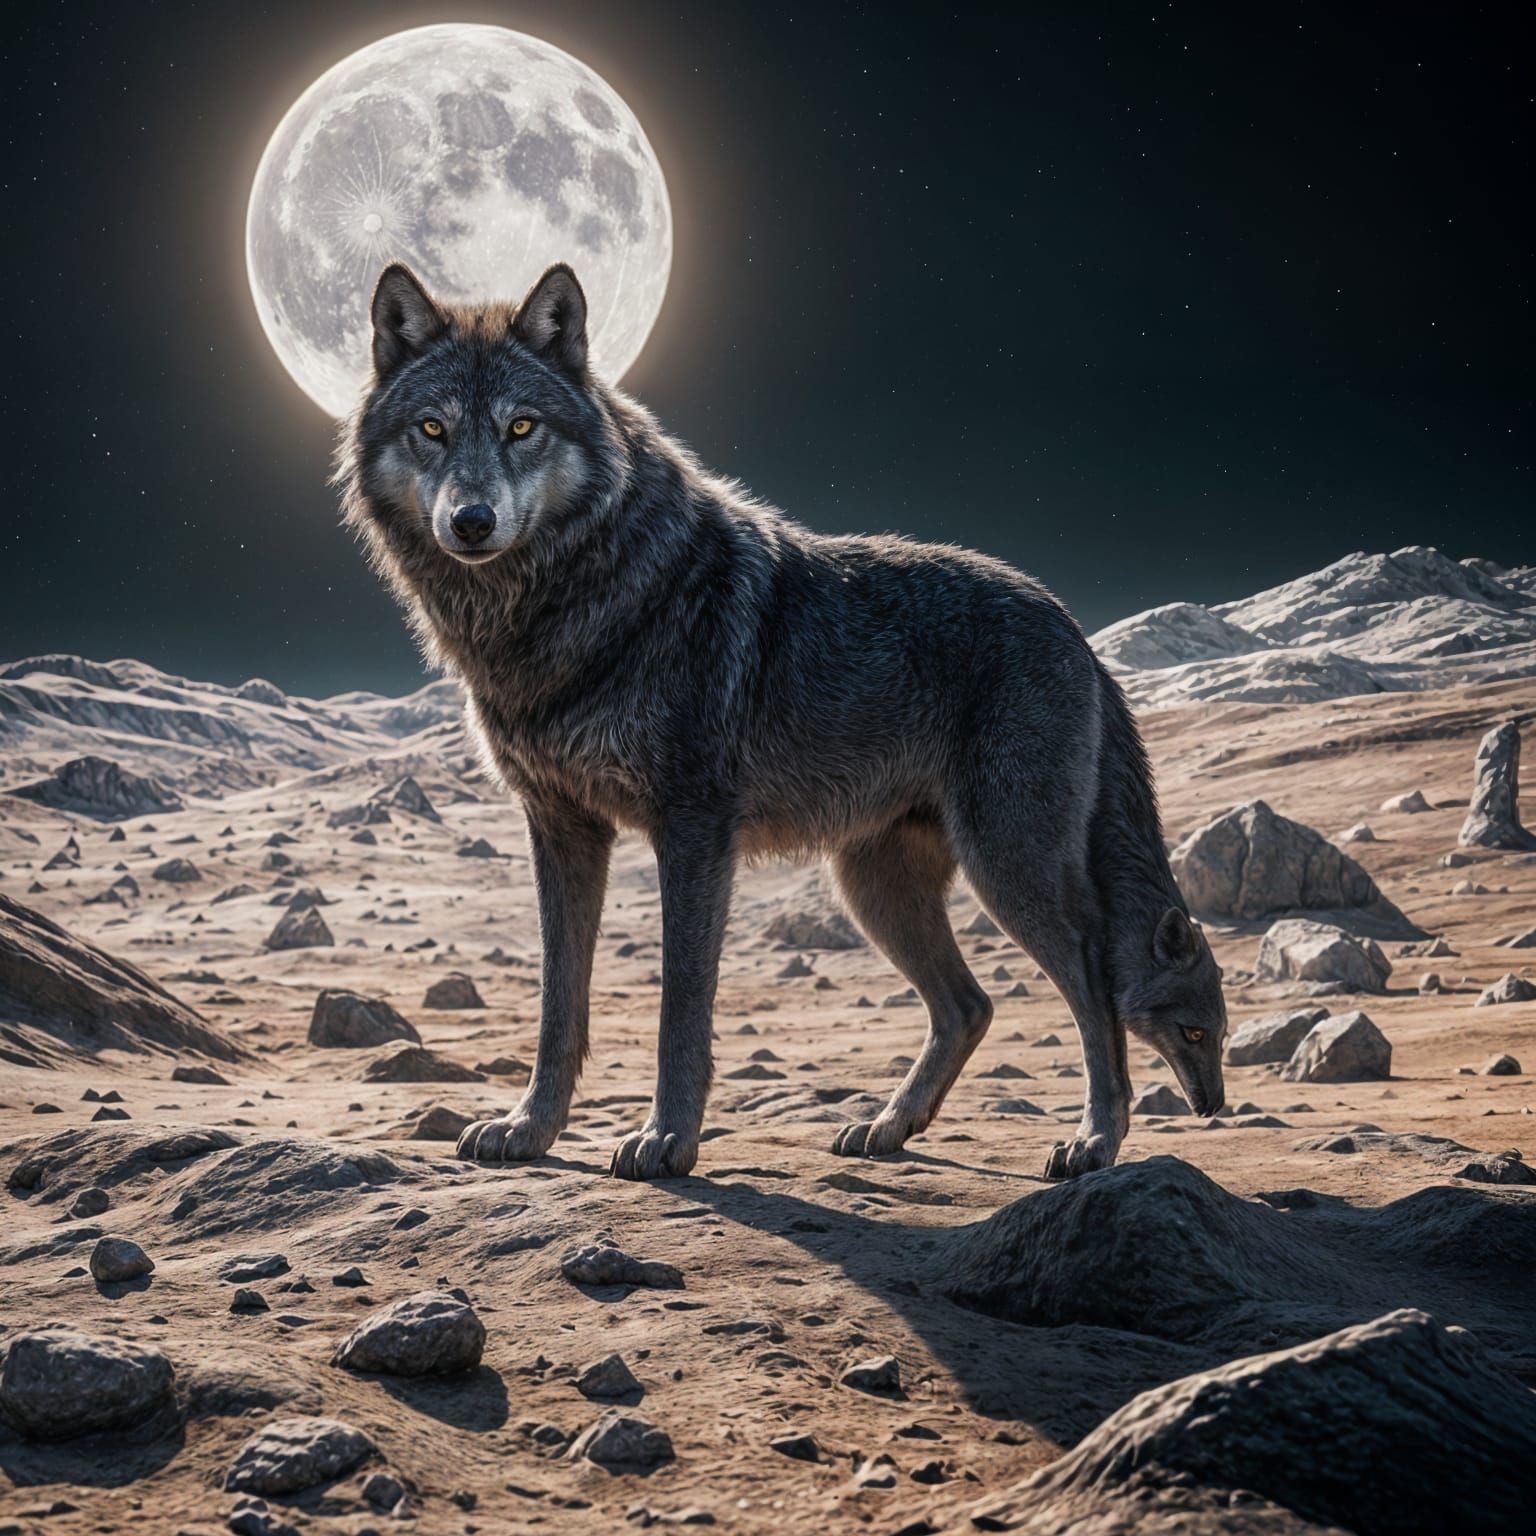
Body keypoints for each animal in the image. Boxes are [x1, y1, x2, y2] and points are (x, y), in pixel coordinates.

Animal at [337, 260, 1228, 1182]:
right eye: (433, 430)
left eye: (521, 427)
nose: (471, 522)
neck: (561, 610)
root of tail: (1075, 628)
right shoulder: (561, 827)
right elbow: (559, 1005)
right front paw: (530, 1129)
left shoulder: (693, 830)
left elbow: (680, 1008)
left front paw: (667, 1141)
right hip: (873, 888)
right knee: (970, 1005)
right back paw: (888, 1129)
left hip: (1005, 867)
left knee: (1091, 980)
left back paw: (1094, 1143)